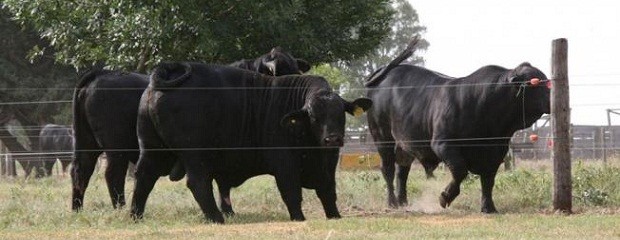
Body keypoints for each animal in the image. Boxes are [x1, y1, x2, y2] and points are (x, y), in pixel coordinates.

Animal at [71, 49, 310, 212]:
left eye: (295, 68)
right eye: (283, 71)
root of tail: (100, 74)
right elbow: (222, 182)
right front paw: (228, 211)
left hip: (86, 143)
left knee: (80, 171)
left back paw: (77, 209)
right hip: (116, 148)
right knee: (113, 174)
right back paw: (119, 207)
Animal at [130, 62, 370, 223]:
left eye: (341, 112)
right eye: (312, 115)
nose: (333, 138)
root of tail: (171, 69)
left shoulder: (328, 167)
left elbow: (328, 193)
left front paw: (335, 216)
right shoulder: (285, 165)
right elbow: (292, 194)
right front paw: (299, 219)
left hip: (151, 149)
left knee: (144, 177)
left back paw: (136, 215)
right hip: (194, 154)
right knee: (198, 183)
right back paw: (217, 218)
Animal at [366, 39, 548, 214]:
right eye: (535, 83)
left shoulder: (496, 152)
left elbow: (488, 181)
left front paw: (488, 207)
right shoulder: (443, 144)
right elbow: (460, 170)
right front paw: (445, 196)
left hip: (403, 144)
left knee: (402, 171)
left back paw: (403, 202)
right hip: (382, 137)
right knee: (388, 169)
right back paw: (392, 202)